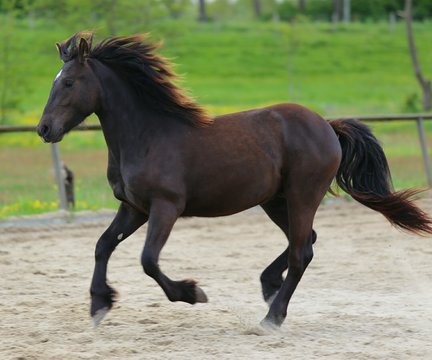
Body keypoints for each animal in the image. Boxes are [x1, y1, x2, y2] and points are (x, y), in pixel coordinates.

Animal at [36, 33, 432, 330]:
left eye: (68, 82)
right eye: (54, 82)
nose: (44, 129)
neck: (146, 135)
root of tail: (327, 126)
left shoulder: (166, 206)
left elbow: (148, 259)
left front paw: (192, 293)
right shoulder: (134, 207)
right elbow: (102, 245)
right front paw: (99, 305)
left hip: (302, 195)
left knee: (302, 251)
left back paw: (271, 318)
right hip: (274, 200)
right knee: (305, 242)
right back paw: (269, 286)